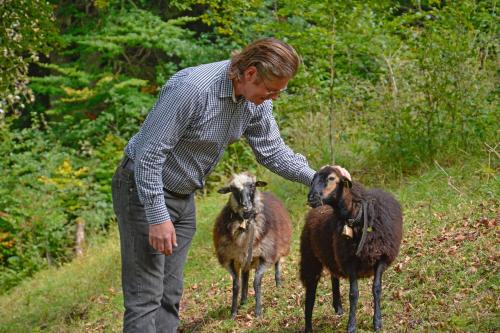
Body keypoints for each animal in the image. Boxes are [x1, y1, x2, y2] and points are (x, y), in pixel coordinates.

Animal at [212, 172, 292, 318]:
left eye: (253, 186)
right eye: (233, 189)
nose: (246, 205)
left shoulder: (265, 256)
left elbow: (256, 282)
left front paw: (258, 312)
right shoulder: (229, 259)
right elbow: (236, 285)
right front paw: (233, 313)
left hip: (277, 248)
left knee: (277, 265)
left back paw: (278, 286)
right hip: (245, 259)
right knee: (245, 276)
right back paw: (243, 301)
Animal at [300, 166, 402, 332]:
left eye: (331, 178)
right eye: (313, 179)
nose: (311, 197)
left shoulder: (381, 256)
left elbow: (377, 288)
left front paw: (377, 322)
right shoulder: (349, 260)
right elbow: (354, 294)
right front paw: (352, 325)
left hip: (331, 253)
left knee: (333, 276)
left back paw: (338, 307)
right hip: (311, 257)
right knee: (310, 296)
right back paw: (309, 327)